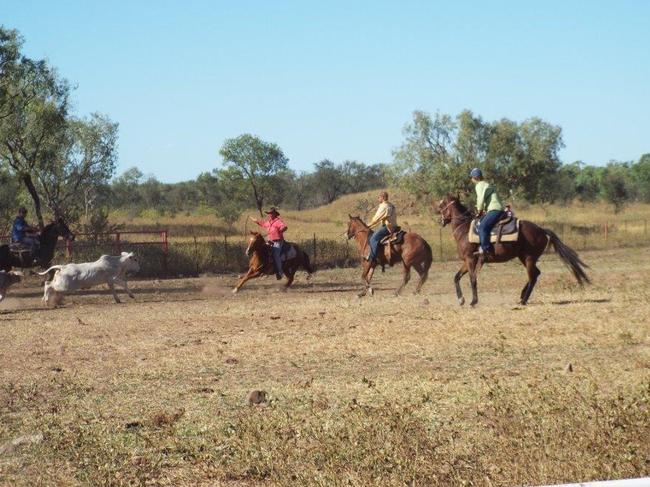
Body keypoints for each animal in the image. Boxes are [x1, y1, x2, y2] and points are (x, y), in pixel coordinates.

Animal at [436, 193, 588, 304]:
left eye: (442, 204)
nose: (440, 220)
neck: (464, 229)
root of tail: (542, 230)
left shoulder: (471, 260)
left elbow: (473, 279)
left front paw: (473, 301)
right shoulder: (467, 261)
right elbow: (456, 277)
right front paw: (461, 299)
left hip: (529, 258)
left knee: (532, 276)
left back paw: (523, 300)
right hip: (524, 257)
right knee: (536, 274)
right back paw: (522, 296)